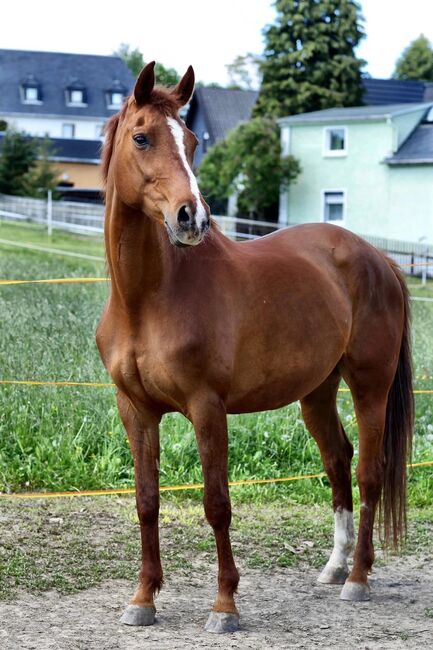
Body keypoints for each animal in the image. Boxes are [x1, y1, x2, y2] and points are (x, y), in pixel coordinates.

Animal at [97, 63, 412, 632]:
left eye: (192, 141)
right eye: (142, 137)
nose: (191, 218)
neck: (146, 298)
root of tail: (378, 258)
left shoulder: (207, 408)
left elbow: (216, 503)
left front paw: (225, 606)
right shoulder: (136, 410)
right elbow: (147, 501)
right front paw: (143, 599)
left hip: (369, 388)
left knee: (368, 472)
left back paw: (357, 579)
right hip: (317, 392)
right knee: (338, 461)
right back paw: (334, 567)